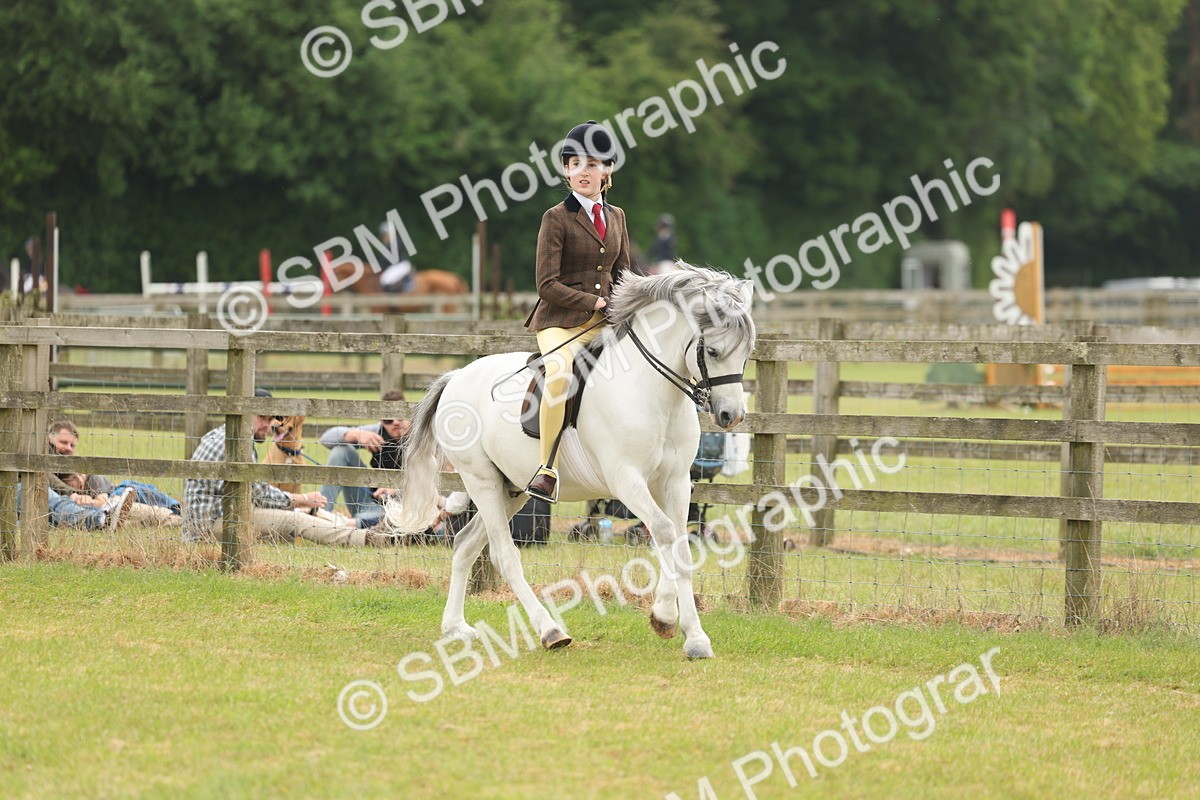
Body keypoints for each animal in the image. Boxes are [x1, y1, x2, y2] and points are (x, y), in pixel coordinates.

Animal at [386, 263, 755, 659]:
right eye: (713, 351)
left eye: (746, 353)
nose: (731, 415)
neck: (654, 393)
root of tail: (456, 377)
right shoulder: (627, 480)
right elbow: (665, 532)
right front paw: (664, 615)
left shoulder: (676, 482)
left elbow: (682, 547)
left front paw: (695, 637)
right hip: (480, 480)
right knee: (503, 555)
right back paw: (550, 631)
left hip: (511, 488)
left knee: (465, 544)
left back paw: (456, 627)